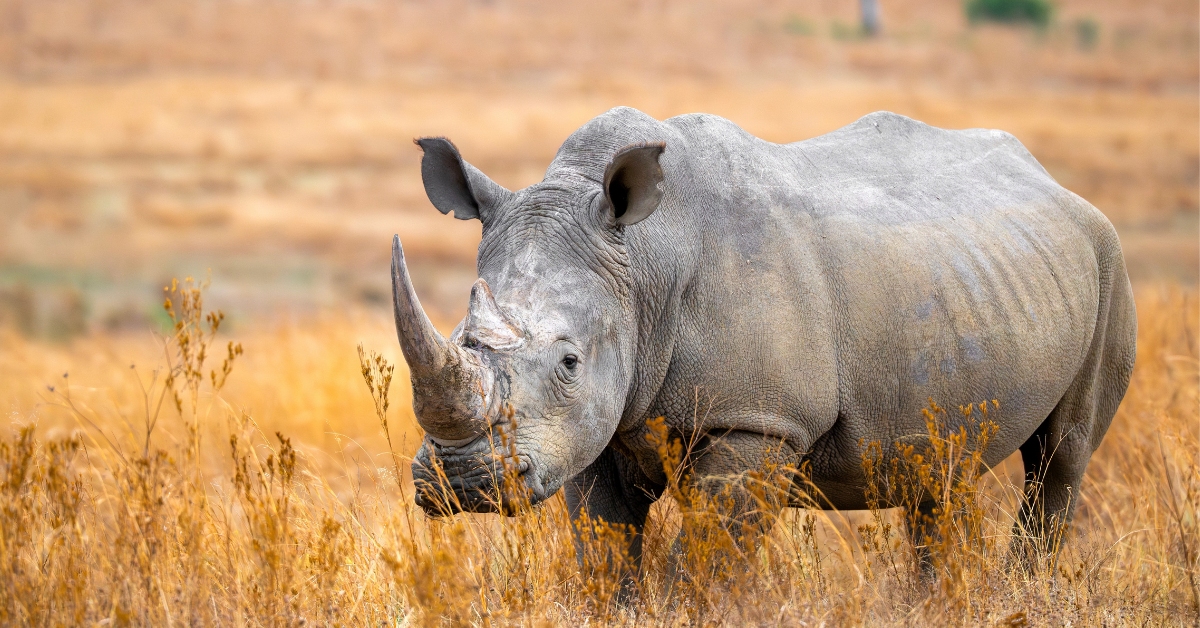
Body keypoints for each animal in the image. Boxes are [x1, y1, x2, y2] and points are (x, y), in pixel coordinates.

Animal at [391, 107, 1136, 567]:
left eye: (570, 361)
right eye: (462, 336)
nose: (463, 482)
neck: (644, 264)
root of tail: (1049, 179)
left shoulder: (757, 421)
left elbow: (704, 568)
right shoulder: (595, 428)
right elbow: (605, 554)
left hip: (1108, 260)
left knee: (1062, 458)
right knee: (936, 470)